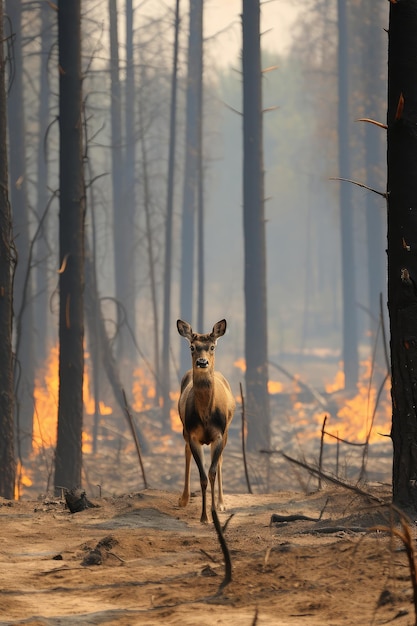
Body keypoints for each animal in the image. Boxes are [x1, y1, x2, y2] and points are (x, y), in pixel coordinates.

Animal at [176, 316, 234, 520]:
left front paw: (215, 510)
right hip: (184, 429)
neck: (206, 416)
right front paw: (204, 517)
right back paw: (183, 499)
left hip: (227, 431)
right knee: (185, 451)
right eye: (192, 346)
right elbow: (202, 477)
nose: (202, 362)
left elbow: (212, 472)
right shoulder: (193, 435)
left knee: (221, 460)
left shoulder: (219, 434)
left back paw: (222, 503)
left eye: (212, 347)